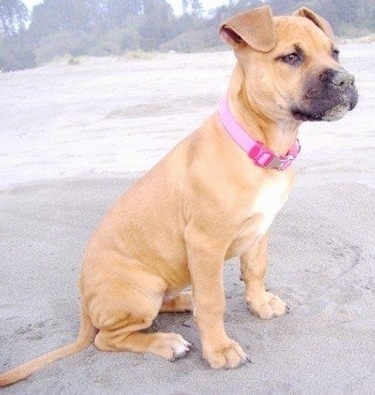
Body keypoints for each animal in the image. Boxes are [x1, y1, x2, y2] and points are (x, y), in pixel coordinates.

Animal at [0, 5, 358, 386]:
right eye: (291, 57)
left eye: (335, 52)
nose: (347, 80)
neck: (260, 144)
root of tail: (83, 297)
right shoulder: (205, 243)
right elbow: (214, 302)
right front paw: (219, 350)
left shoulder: (260, 229)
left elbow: (256, 270)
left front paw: (260, 304)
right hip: (141, 291)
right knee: (107, 338)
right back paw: (166, 342)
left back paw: (186, 300)